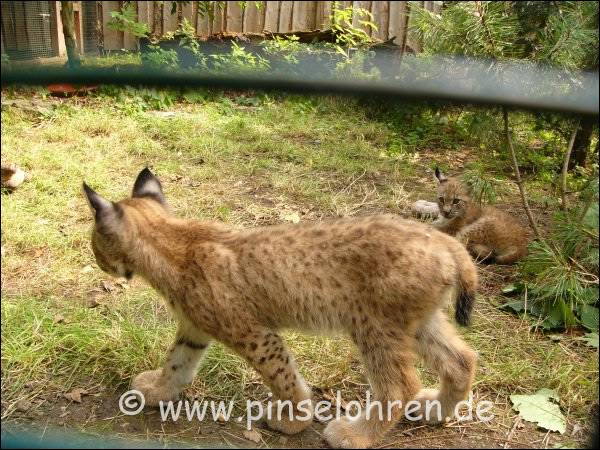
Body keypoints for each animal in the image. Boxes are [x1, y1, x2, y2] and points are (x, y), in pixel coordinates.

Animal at [83, 170, 478, 450]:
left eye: (94, 245)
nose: (99, 262)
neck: (169, 237)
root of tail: (443, 239)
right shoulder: (195, 327)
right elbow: (177, 362)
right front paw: (159, 391)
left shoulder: (253, 332)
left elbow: (282, 375)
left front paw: (296, 419)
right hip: (415, 321)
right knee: (461, 359)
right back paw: (436, 410)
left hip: (373, 324)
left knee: (399, 384)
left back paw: (357, 434)